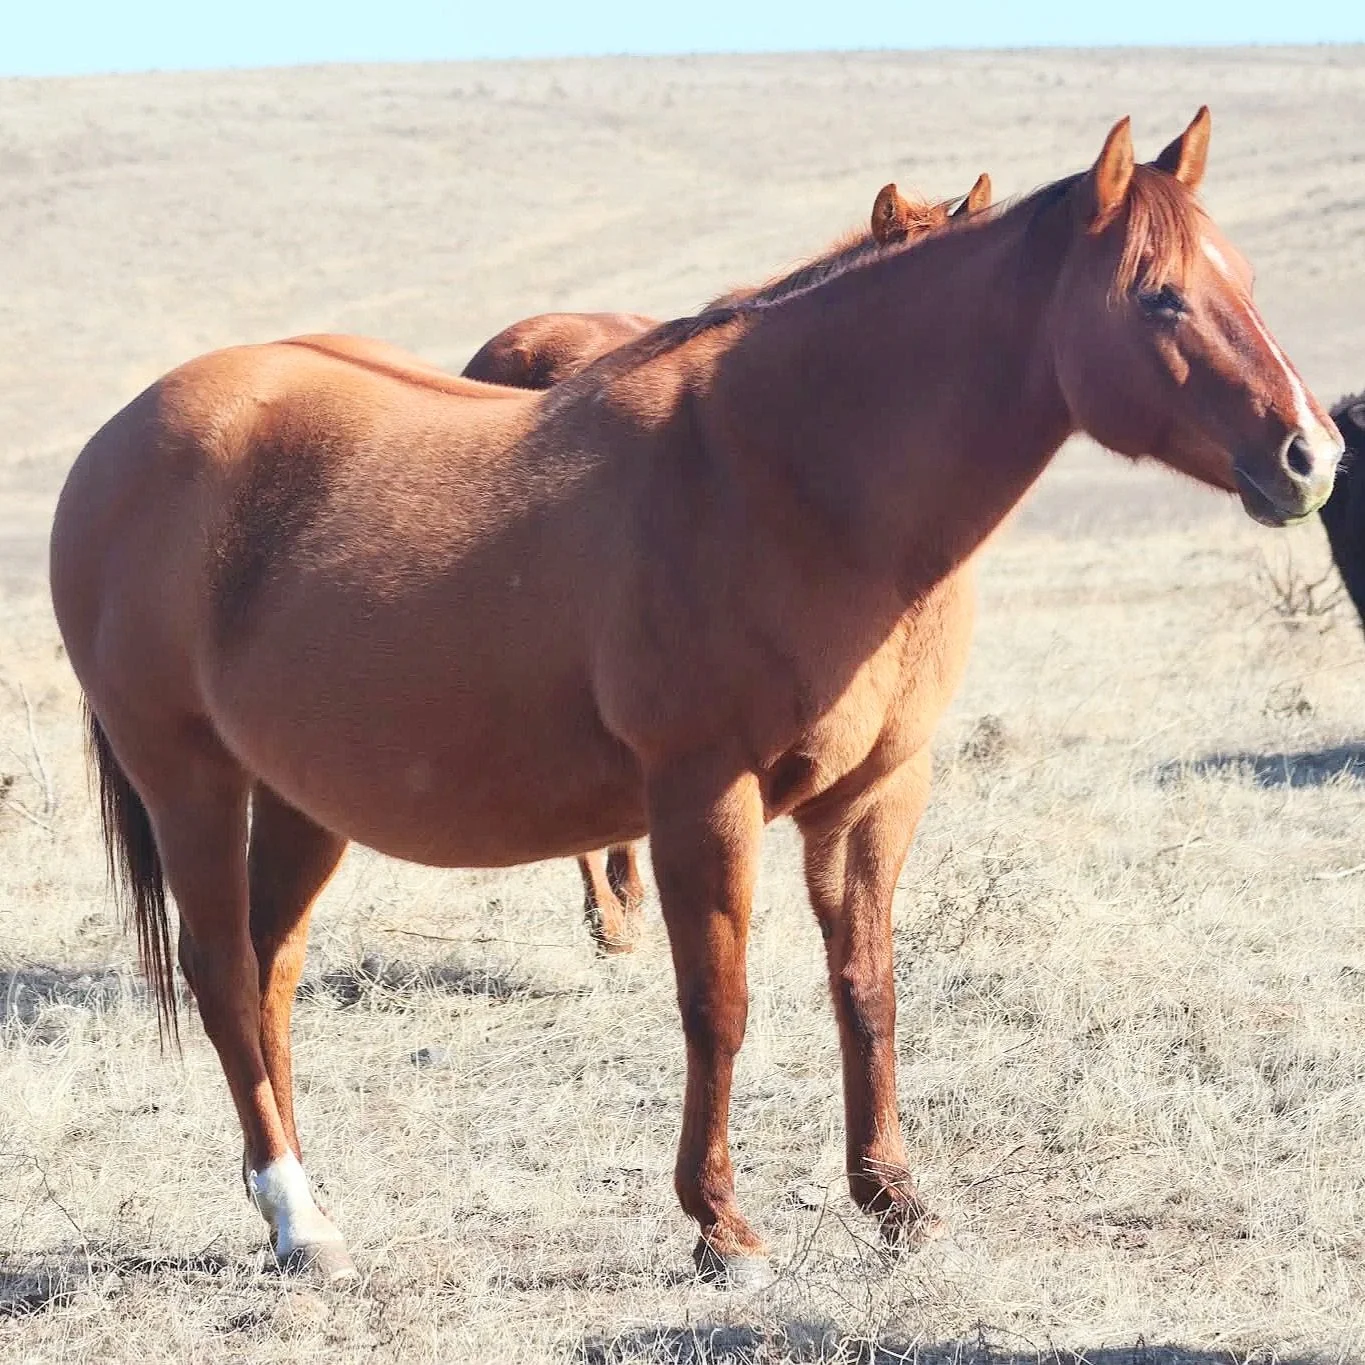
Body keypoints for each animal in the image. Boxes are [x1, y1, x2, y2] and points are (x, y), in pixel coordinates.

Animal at [49, 109, 1341, 1286]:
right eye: (1160, 298)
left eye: (1243, 279)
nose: (1312, 455)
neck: (788, 478)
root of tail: (122, 441)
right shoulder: (702, 800)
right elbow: (716, 1005)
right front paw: (724, 1229)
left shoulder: (874, 799)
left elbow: (867, 990)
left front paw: (895, 1202)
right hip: (188, 779)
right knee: (224, 974)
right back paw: (297, 1220)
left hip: (302, 799)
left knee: (270, 970)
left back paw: (297, 1199)